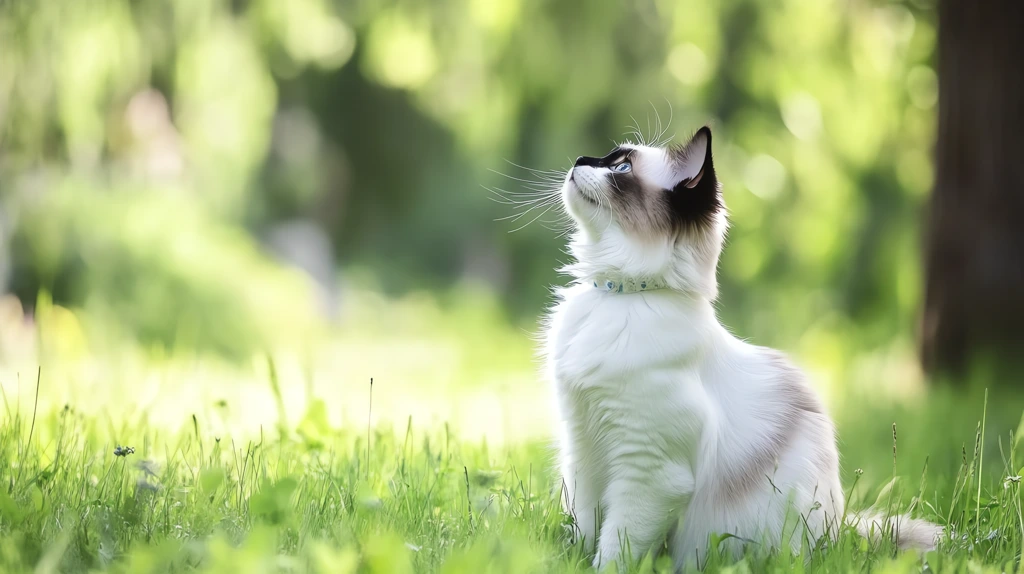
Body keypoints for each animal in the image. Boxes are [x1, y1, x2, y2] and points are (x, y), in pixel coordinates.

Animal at [544, 126, 942, 568]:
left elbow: (615, 548)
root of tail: (839, 535)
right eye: (609, 157)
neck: (619, 296)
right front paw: (568, 562)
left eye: (621, 168)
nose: (580, 159)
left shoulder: (647, 470)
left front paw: (597, 568)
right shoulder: (583, 450)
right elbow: (586, 527)